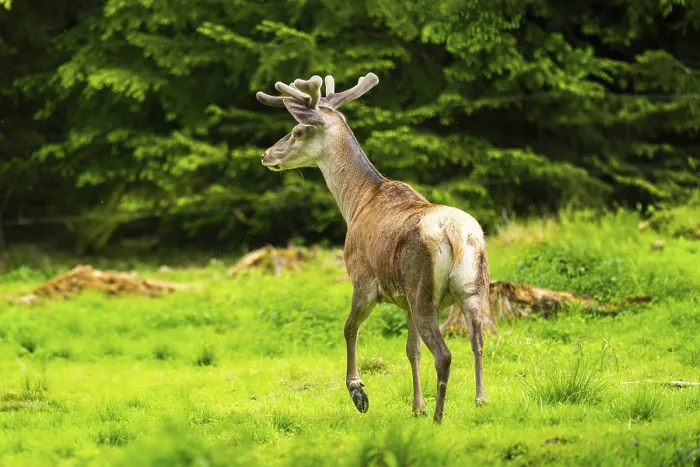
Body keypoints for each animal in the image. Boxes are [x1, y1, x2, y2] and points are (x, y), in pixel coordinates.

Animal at [256, 72, 490, 424]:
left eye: (297, 130)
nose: (267, 154)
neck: (356, 204)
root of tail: (457, 233)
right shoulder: (403, 299)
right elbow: (411, 350)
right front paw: (416, 406)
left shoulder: (362, 279)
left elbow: (348, 328)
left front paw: (358, 392)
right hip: (472, 289)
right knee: (478, 340)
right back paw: (480, 400)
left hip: (423, 290)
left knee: (444, 353)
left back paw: (439, 417)